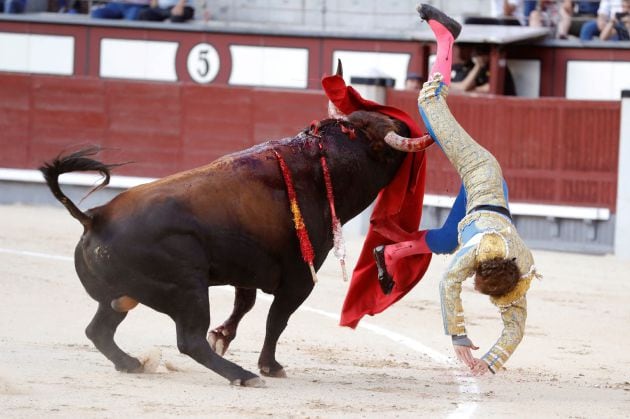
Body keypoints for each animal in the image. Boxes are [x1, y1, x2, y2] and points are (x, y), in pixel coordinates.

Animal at [40, 110, 414, 388]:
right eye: (387, 148)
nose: (409, 127)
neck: (320, 171)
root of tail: (94, 218)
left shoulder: (247, 270)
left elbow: (245, 305)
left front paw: (222, 336)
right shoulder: (299, 280)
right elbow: (276, 320)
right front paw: (269, 366)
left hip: (121, 296)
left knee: (98, 330)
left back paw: (132, 363)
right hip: (188, 287)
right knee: (188, 340)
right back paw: (243, 376)